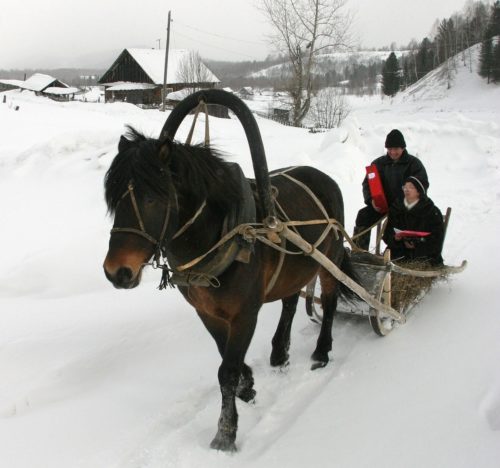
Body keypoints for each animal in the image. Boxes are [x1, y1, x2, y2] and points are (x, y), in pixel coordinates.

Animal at [102, 89, 356, 452]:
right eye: (112, 199)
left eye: (152, 198)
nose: (116, 271)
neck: (223, 234)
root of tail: (323, 177)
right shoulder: (207, 312)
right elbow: (226, 357)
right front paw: (248, 385)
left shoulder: (245, 313)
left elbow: (227, 371)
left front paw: (225, 434)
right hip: (293, 268)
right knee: (291, 301)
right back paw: (280, 353)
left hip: (328, 260)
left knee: (331, 302)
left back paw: (321, 352)